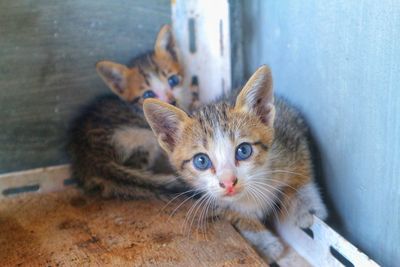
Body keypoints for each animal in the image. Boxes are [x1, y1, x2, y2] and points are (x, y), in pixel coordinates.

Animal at [144, 66, 328, 262]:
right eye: (201, 161)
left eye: (244, 150)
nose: (228, 182)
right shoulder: (213, 199)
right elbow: (235, 214)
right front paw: (265, 243)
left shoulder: (289, 137)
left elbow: (301, 170)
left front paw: (306, 206)